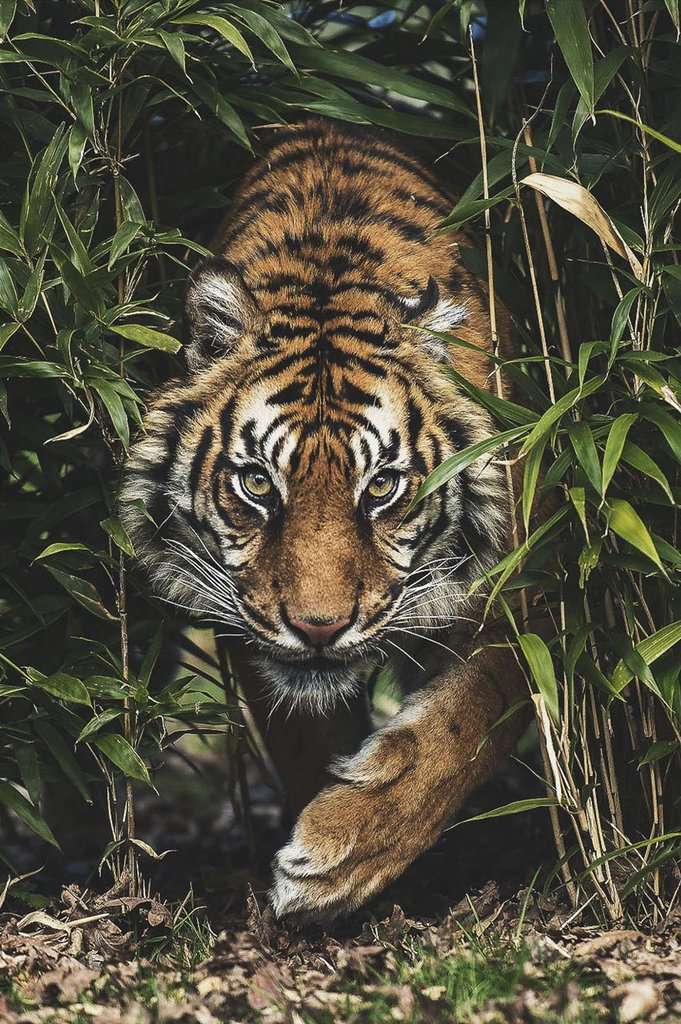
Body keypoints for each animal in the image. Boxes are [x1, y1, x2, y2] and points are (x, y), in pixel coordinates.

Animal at [120, 117, 528, 921]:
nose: (317, 629)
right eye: (256, 483)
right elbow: (302, 736)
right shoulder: (241, 616)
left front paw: (338, 854)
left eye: (381, 487)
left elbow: (470, 719)